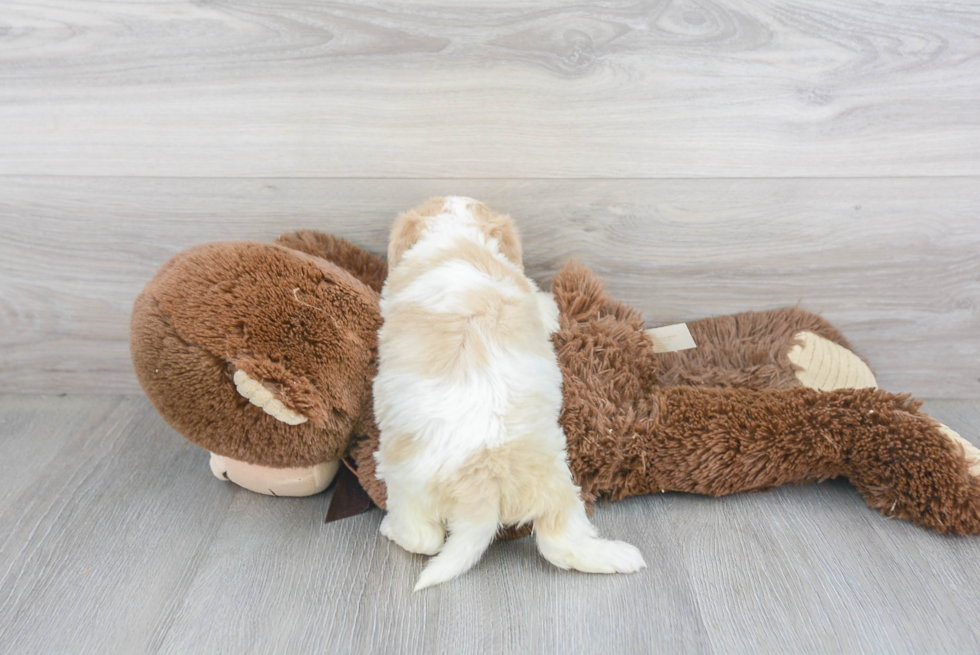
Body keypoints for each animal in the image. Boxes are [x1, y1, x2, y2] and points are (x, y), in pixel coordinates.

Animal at [374, 197, 644, 592]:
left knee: (425, 539)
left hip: (408, 486)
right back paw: (617, 556)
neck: (455, 235)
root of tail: (484, 482)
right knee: (560, 541)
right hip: (556, 487)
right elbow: (545, 305)